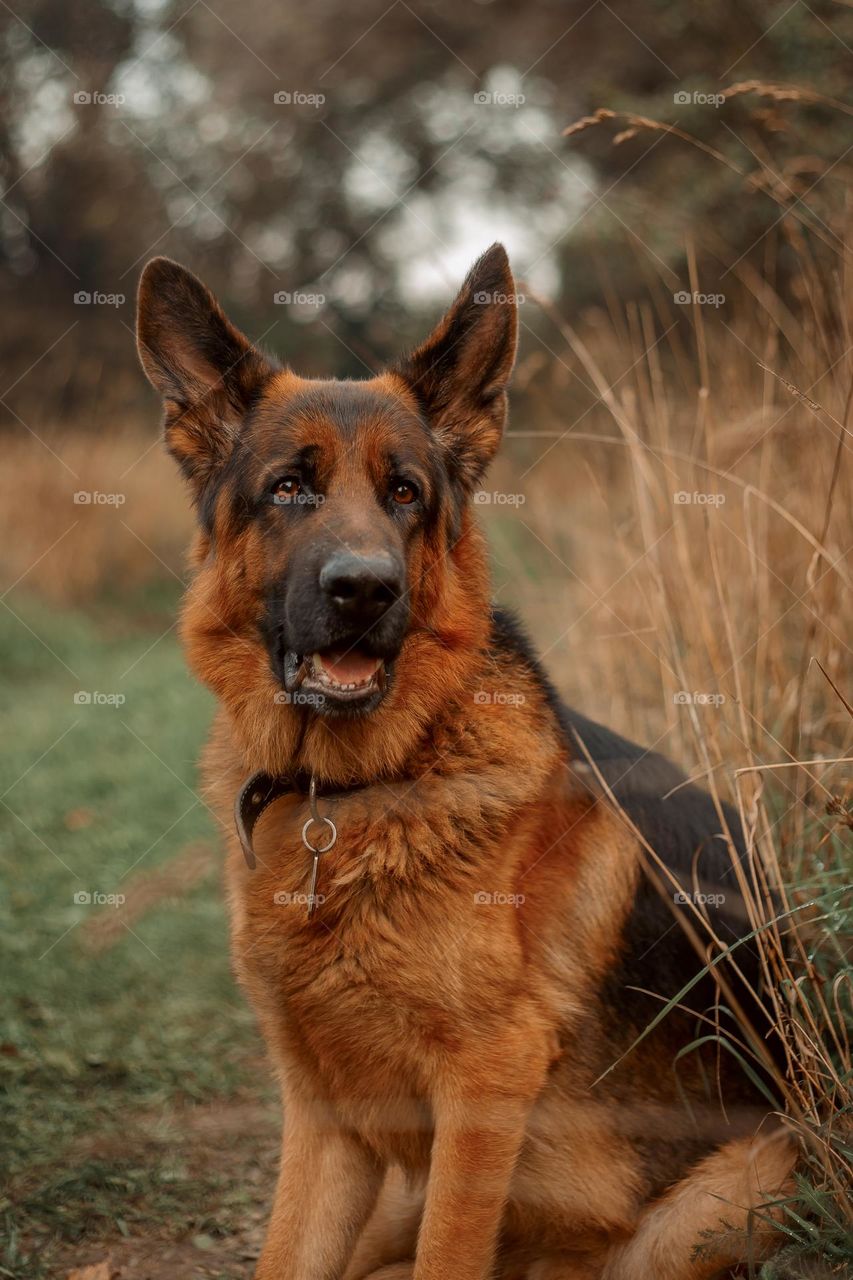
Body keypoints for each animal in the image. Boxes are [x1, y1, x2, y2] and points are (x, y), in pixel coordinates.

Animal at [134, 244, 788, 1274]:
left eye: (404, 492)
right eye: (288, 489)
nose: (365, 589)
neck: (351, 793)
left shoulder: (480, 1097)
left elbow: (448, 1254)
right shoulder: (325, 1121)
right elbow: (284, 1255)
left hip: (704, 1211)